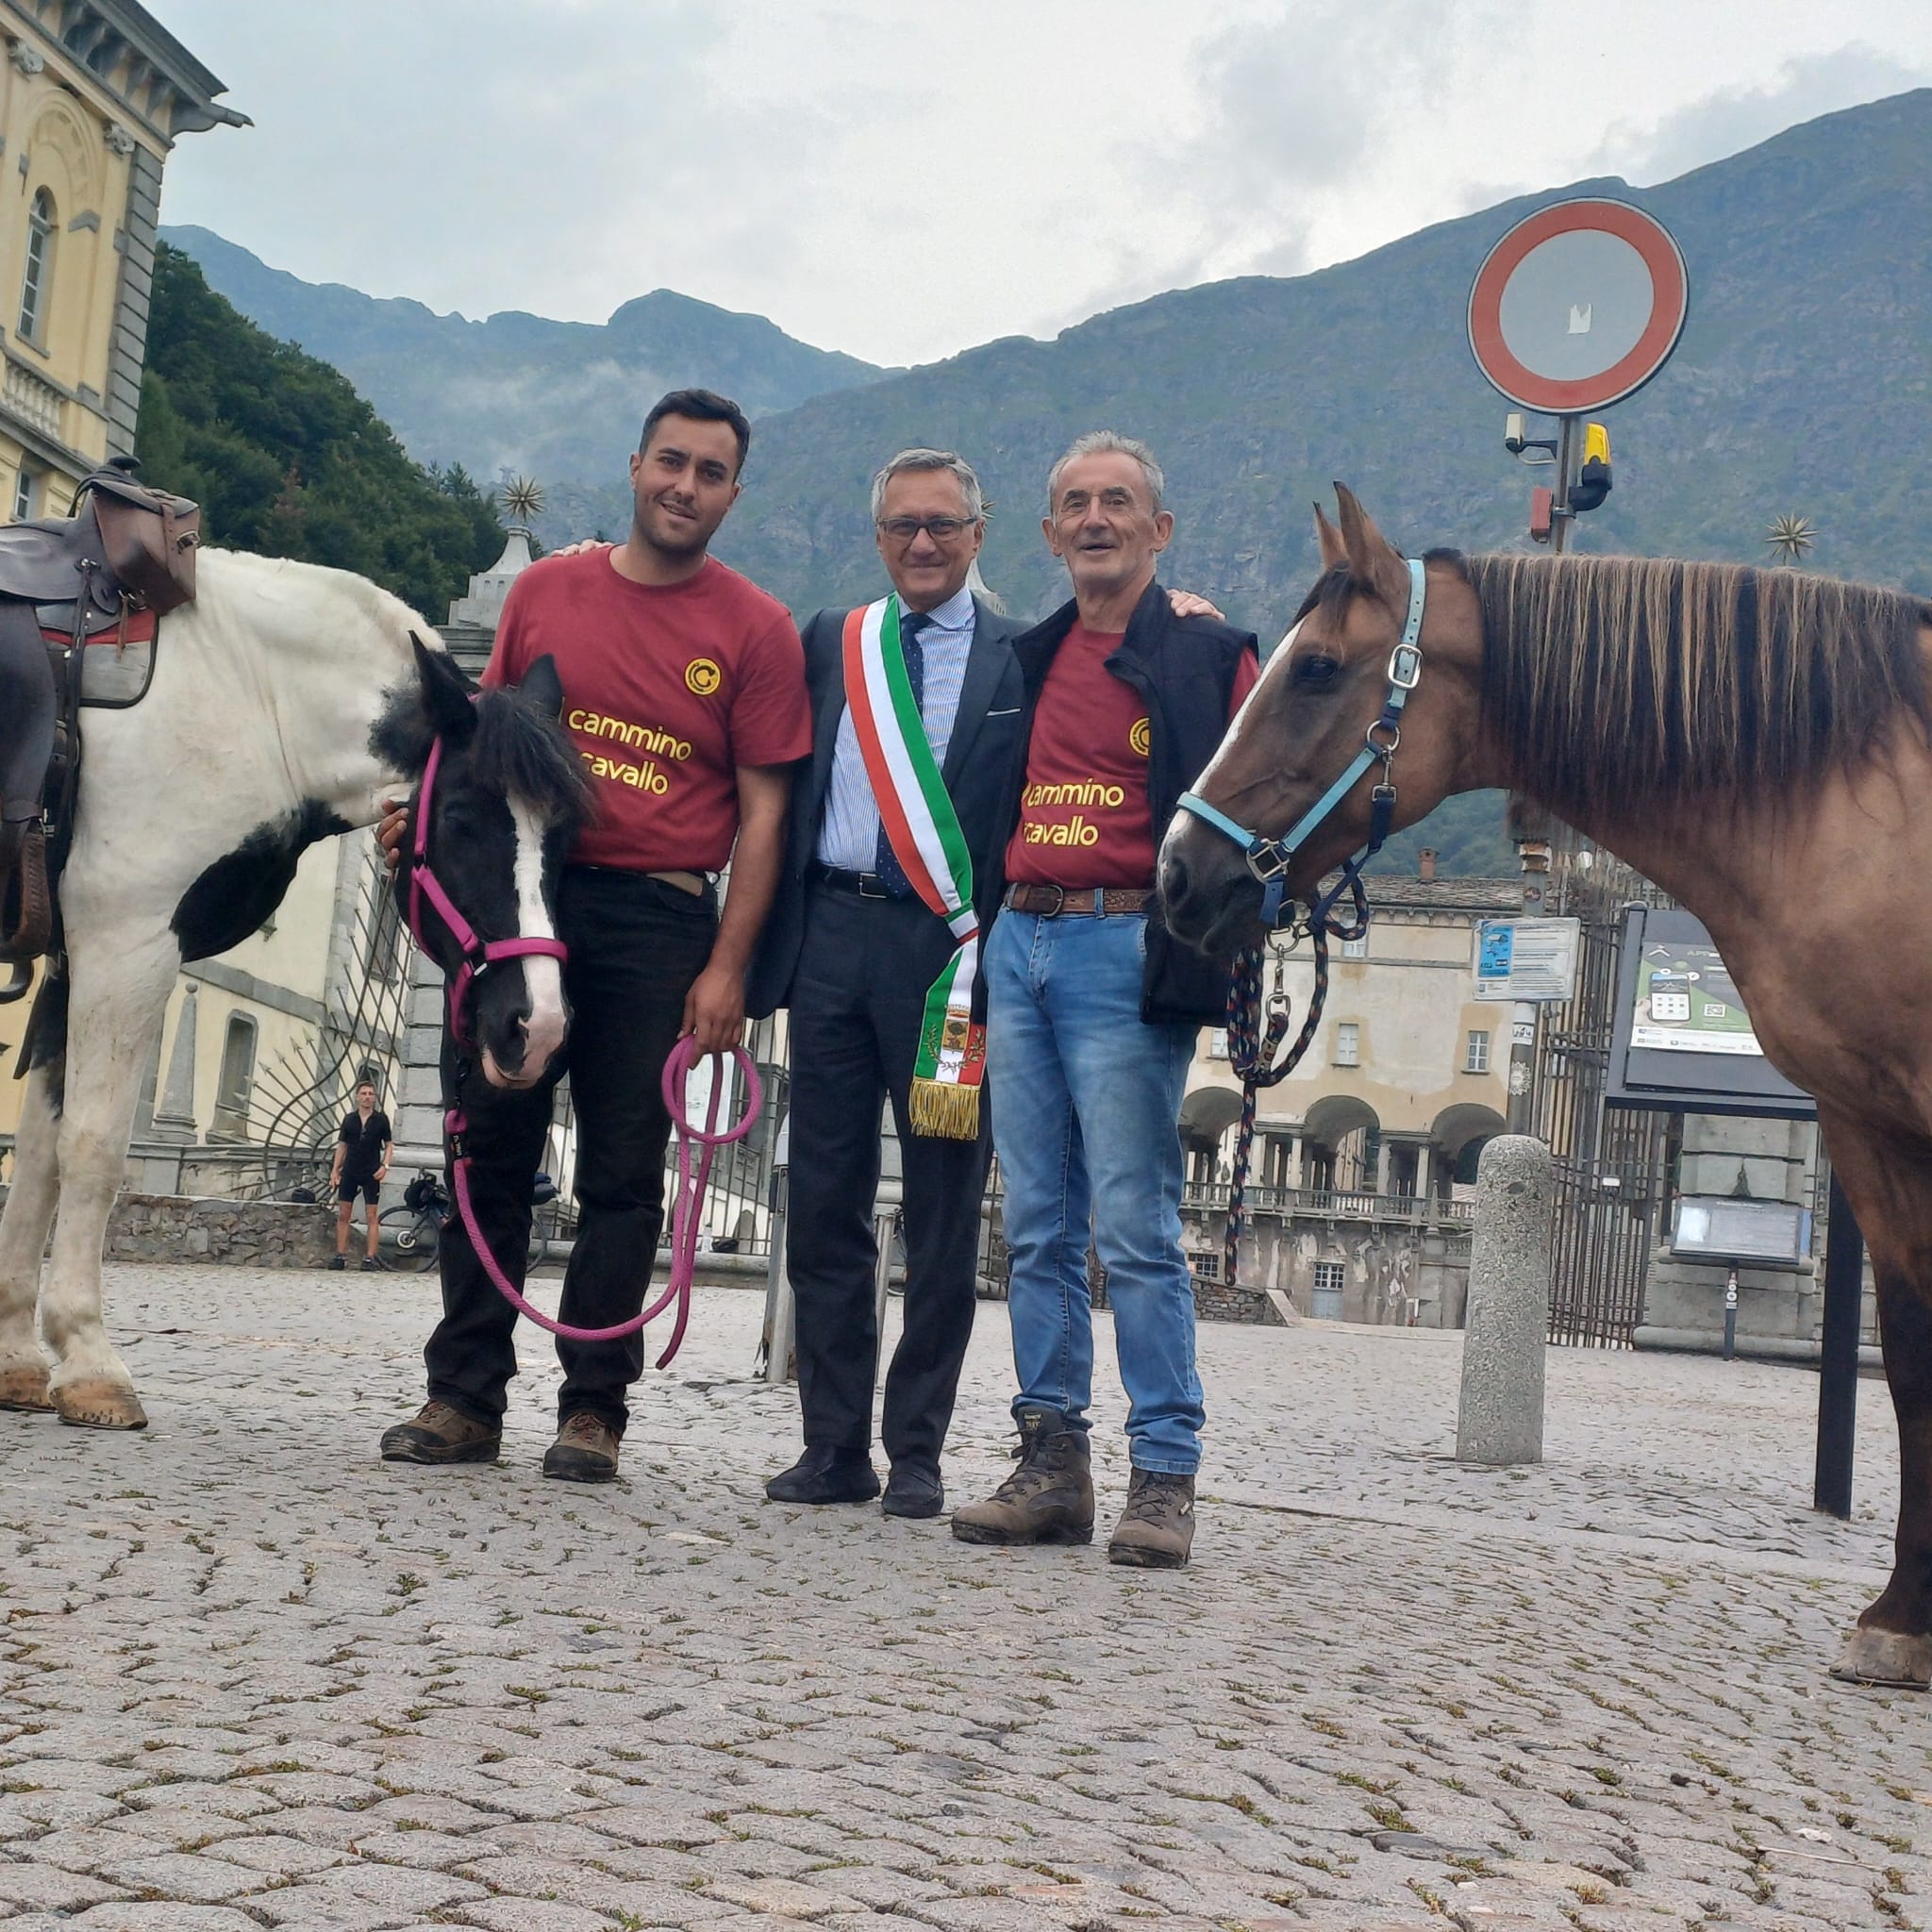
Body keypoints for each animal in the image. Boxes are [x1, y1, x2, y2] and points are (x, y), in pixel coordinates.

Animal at [0, 552, 587, 1429]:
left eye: (566, 835)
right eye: (459, 817)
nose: (538, 1024)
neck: (244, 693)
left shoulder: (73, 962)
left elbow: (39, 1155)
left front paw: (17, 1356)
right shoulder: (125, 943)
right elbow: (94, 1149)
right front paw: (91, 1362)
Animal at [1151, 487, 1932, 1692]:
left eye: (1316, 667)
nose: (1179, 870)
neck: (1864, 798)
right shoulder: (1867, 1118)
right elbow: (1909, 1346)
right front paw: (1903, 1616)